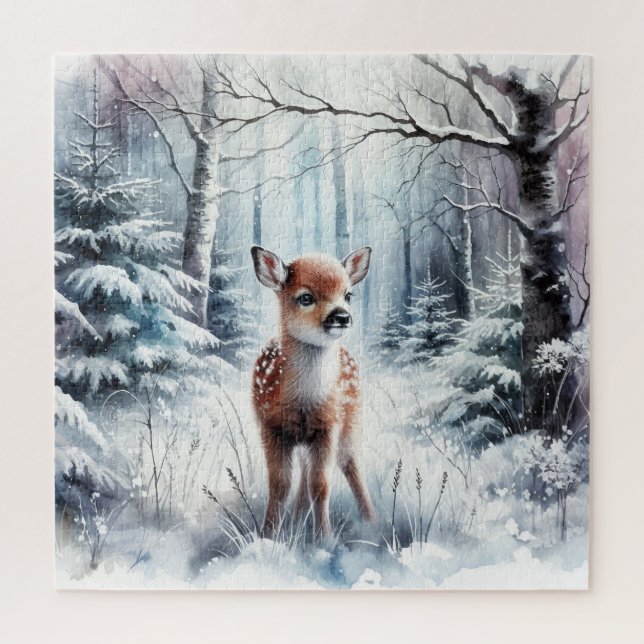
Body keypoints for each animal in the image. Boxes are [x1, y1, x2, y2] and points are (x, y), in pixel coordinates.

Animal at [250, 245, 376, 540]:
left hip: (350, 419)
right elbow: (280, 484)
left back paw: (371, 520)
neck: (303, 402)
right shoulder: (270, 426)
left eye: (348, 294)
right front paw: (268, 535)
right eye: (305, 297)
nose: (341, 316)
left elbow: (321, 485)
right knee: (305, 473)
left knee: (349, 463)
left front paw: (324, 538)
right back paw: (297, 519)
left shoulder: (329, 425)